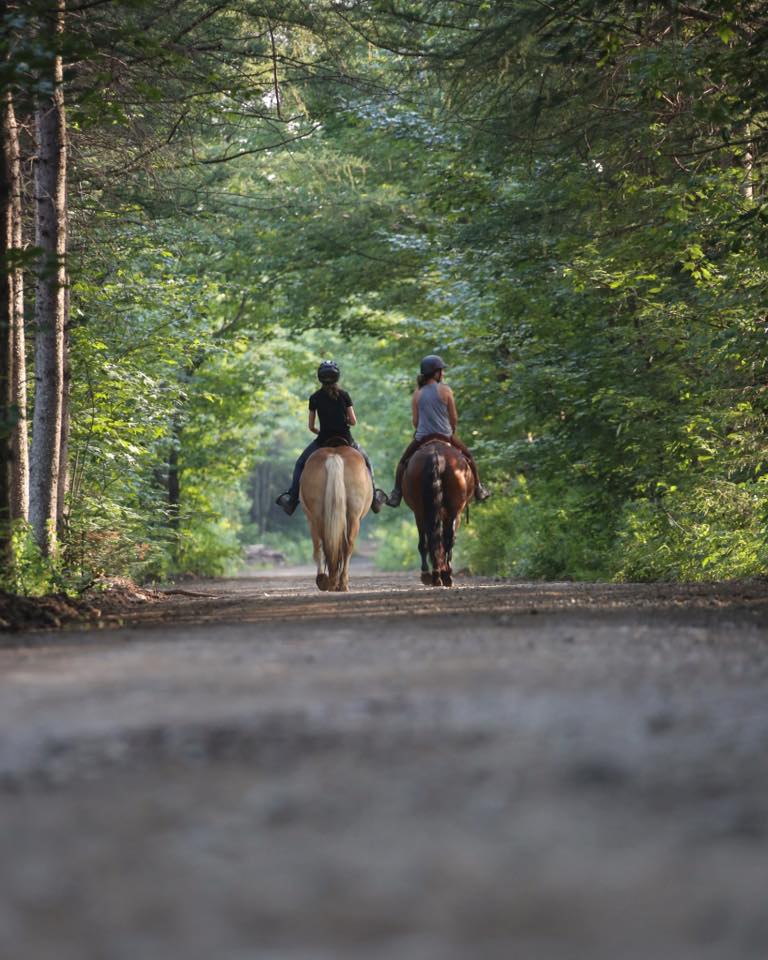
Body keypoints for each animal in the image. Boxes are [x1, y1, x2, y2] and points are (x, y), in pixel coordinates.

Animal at [300, 444, 372, 592]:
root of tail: (335, 456)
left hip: (317, 516)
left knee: (324, 545)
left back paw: (329, 581)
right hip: (352, 517)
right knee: (344, 546)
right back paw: (339, 583)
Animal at [402, 440, 474, 588]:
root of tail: (435, 456)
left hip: (421, 512)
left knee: (428, 541)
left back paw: (434, 575)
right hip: (452, 511)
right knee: (447, 540)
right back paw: (442, 575)